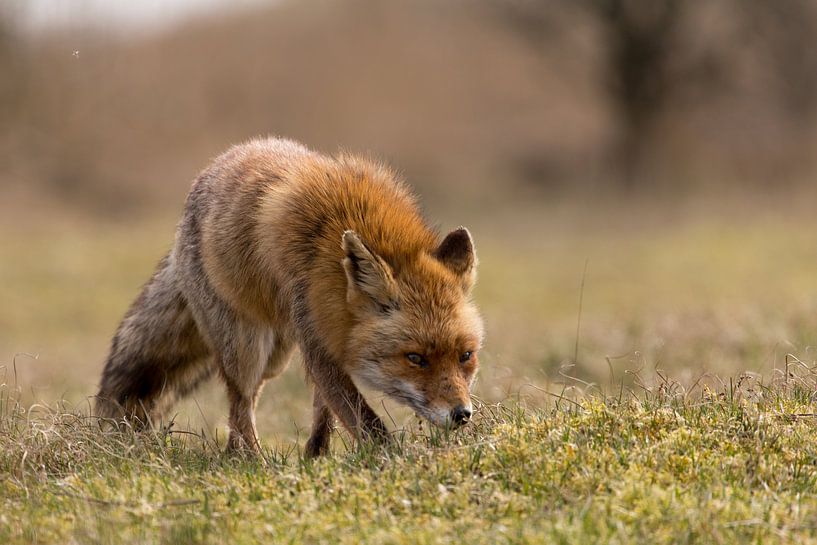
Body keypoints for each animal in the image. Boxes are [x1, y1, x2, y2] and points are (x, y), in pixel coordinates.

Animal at [95, 137, 484, 457]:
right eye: (415, 358)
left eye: (465, 356)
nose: (462, 415)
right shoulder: (315, 337)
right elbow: (363, 419)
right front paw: (396, 462)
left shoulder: (329, 336)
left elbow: (327, 405)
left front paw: (317, 455)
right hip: (248, 347)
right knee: (241, 400)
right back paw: (251, 461)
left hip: (278, 351)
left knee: (249, 402)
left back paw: (242, 454)